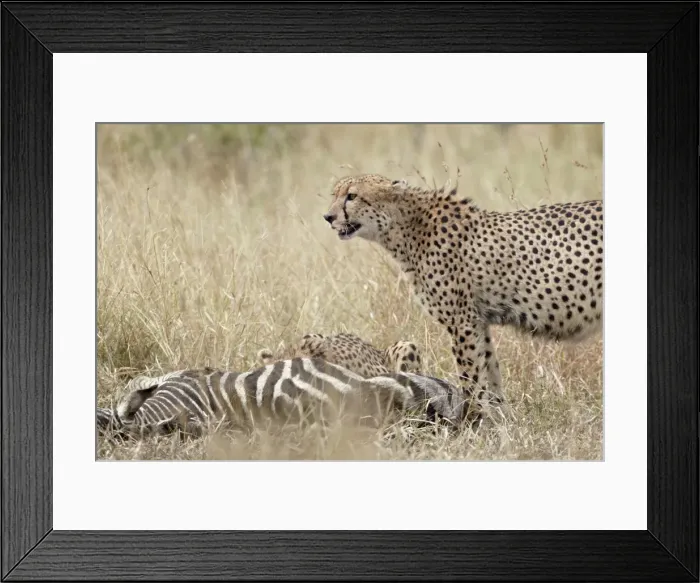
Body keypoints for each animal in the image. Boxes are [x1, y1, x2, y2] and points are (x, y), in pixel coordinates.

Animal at [321, 173, 603, 425]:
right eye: (334, 194)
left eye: (352, 196)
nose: (328, 217)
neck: (406, 227)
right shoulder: (478, 322)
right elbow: (489, 371)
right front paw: (500, 419)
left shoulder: (461, 322)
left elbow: (471, 375)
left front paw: (473, 422)